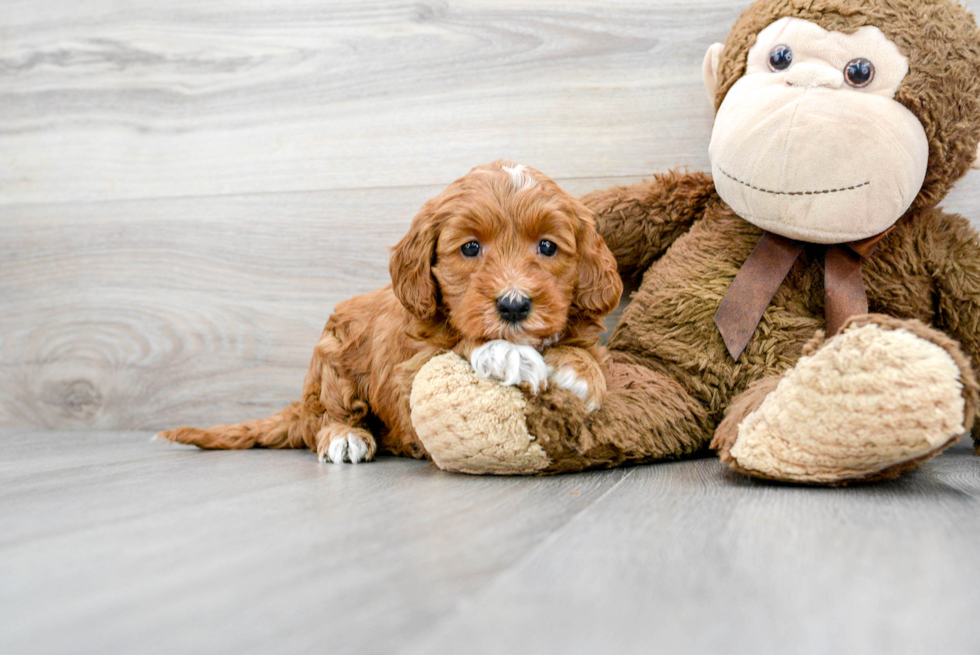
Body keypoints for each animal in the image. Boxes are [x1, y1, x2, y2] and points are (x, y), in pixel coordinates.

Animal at [158, 161, 624, 464]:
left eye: (547, 246)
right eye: (470, 247)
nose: (513, 305)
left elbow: (584, 350)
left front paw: (580, 370)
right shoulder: (407, 367)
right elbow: (455, 343)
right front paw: (506, 353)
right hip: (330, 361)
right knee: (325, 417)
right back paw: (346, 436)